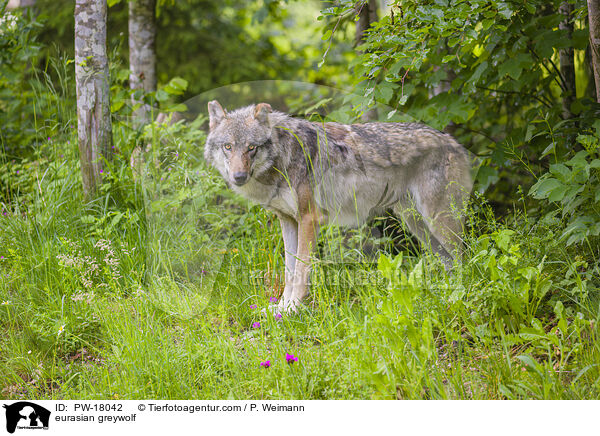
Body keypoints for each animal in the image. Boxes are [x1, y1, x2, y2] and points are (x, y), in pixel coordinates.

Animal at [204, 101, 472, 314]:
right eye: (228, 147)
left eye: (252, 147)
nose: (238, 176)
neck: (283, 157)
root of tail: (453, 142)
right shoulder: (288, 220)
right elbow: (289, 270)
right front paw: (280, 308)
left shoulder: (309, 219)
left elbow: (301, 270)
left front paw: (293, 309)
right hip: (418, 226)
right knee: (450, 262)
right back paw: (445, 296)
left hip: (438, 222)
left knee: (464, 260)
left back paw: (458, 296)